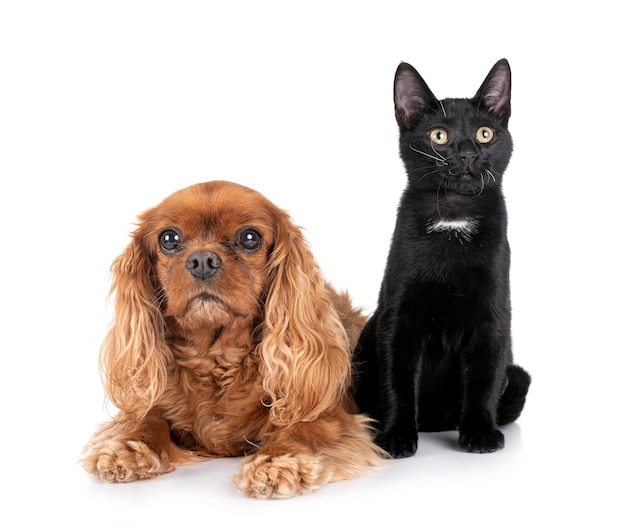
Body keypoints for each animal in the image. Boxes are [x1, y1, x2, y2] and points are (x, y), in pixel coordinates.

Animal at [354, 60, 528, 458]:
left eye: (484, 134)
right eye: (439, 136)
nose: (466, 153)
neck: (453, 219)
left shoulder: (493, 315)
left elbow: (484, 377)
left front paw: (480, 433)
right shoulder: (398, 316)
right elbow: (398, 378)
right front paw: (396, 435)